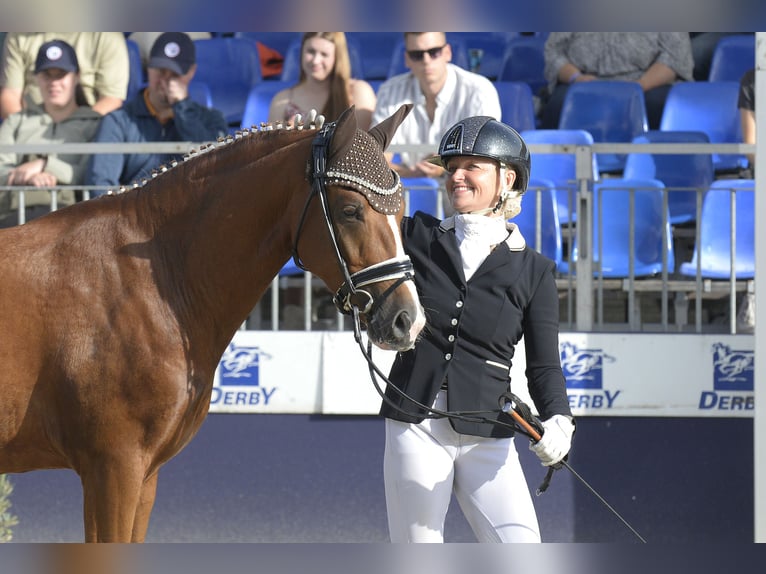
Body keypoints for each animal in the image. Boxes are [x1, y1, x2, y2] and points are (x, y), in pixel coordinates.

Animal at [0, 106, 426, 544]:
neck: (150, 279)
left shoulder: (144, 475)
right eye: (350, 211)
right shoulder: (112, 468)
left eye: (402, 213)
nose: (408, 319)